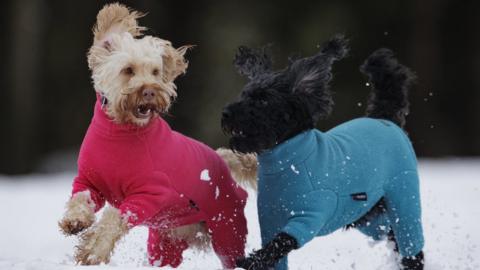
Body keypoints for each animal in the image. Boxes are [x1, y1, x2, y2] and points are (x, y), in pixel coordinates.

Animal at [221, 35, 424, 270]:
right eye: (243, 95)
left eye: (263, 100)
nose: (226, 113)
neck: (287, 161)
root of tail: (384, 118)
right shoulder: (270, 219)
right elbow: (276, 251)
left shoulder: (310, 216)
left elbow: (281, 242)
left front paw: (252, 259)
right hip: (365, 214)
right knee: (389, 232)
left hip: (403, 197)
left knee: (411, 246)